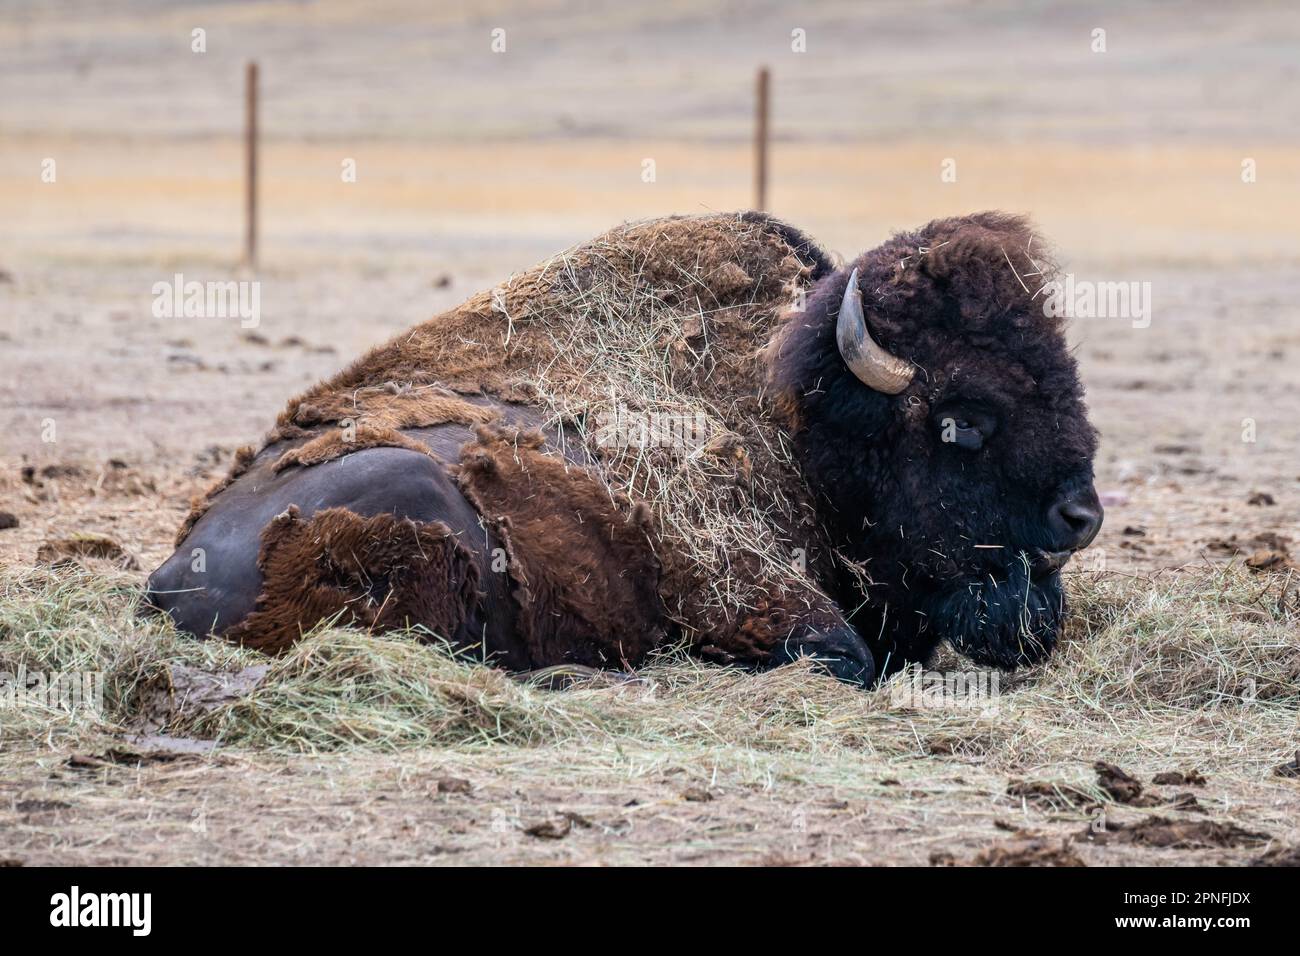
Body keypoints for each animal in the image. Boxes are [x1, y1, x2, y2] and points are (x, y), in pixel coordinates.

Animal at [146, 211, 1102, 687]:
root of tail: (165, 576)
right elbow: (846, 659)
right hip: (416, 509)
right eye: (963, 417)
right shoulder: (741, 587)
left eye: (1064, 376)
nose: (1081, 515)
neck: (800, 423)